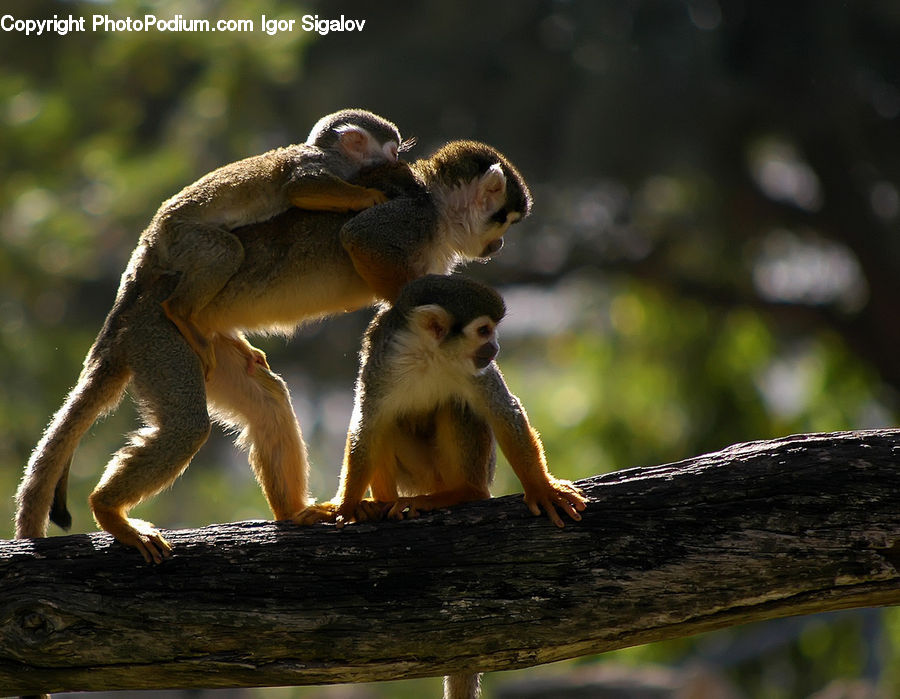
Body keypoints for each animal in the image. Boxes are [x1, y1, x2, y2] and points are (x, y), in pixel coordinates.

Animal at [15, 140, 533, 564]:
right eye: (504, 218)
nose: (501, 243)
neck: (438, 213)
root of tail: (134, 305)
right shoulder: (410, 218)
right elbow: (362, 239)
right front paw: (400, 311)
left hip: (203, 342)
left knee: (264, 398)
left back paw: (292, 513)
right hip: (158, 337)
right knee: (186, 426)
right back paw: (108, 510)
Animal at [155, 108, 405, 375]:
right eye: (393, 152)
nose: (396, 160)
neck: (332, 152)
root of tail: (154, 233)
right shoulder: (328, 162)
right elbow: (300, 187)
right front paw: (367, 197)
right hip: (182, 235)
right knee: (226, 251)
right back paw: (180, 312)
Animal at [296, 274, 587, 699]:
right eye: (484, 331)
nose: (495, 349)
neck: (430, 355)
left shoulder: (476, 370)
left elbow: (505, 413)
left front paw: (543, 488)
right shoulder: (383, 362)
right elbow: (367, 426)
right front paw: (346, 506)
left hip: (462, 472)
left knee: (456, 407)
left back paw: (462, 494)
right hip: (416, 477)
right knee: (391, 422)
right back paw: (381, 503)